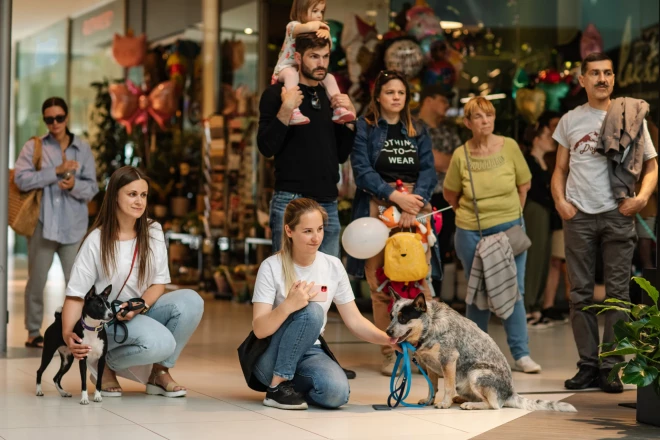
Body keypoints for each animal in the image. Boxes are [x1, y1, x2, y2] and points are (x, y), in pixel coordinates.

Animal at [390, 292, 576, 412]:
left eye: (403, 318)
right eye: (391, 316)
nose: (388, 331)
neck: (431, 324)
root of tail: (510, 394)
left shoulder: (449, 360)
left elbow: (447, 387)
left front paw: (444, 403)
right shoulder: (429, 365)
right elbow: (432, 386)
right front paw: (429, 401)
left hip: (475, 373)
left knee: (494, 405)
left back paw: (470, 405)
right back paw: (462, 399)